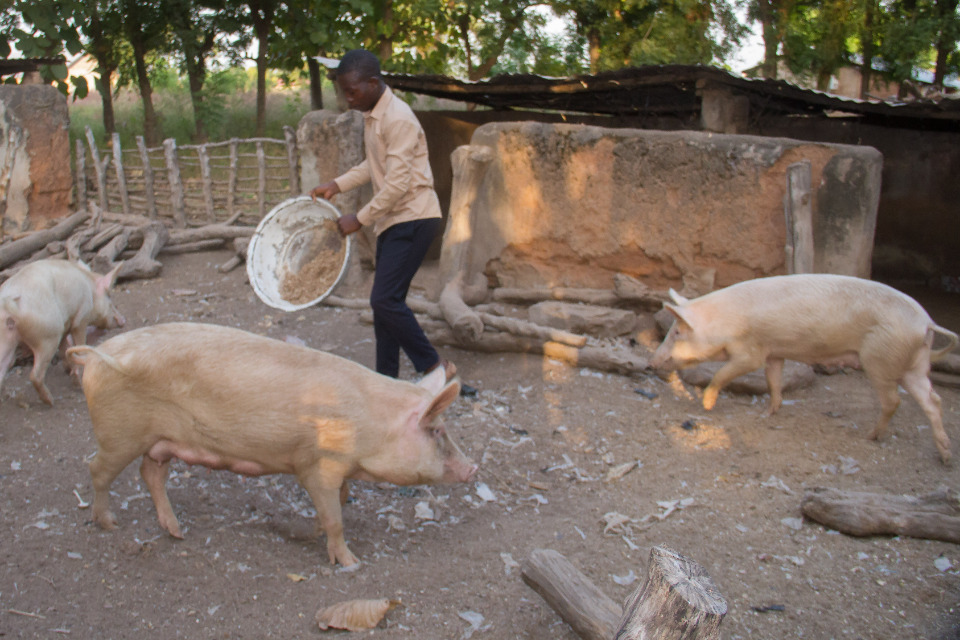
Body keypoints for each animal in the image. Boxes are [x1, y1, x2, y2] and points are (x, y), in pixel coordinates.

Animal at [0, 259, 125, 405]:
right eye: (109, 296)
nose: (123, 320)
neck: (91, 290)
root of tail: (9, 304)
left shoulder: (66, 327)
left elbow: (64, 348)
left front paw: (67, 369)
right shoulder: (81, 318)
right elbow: (79, 345)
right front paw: (77, 383)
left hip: (6, 339)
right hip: (48, 336)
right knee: (35, 375)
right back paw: (50, 401)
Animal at [67, 322, 478, 567]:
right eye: (436, 432)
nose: (473, 467)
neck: (370, 426)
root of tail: (94, 356)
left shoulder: (339, 469)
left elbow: (340, 501)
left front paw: (314, 531)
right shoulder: (316, 466)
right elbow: (334, 516)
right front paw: (351, 563)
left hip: (160, 441)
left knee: (150, 473)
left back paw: (176, 531)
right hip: (119, 433)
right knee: (96, 468)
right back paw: (109, 523)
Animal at [650, 274, 958, 463]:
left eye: (676, 332)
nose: (651, 361)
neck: (723, 323)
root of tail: (926, 322)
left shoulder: (750, 352)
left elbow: (723, 373)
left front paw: (707, 404)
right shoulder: (774, 352)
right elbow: (773, 379)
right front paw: (768, 412)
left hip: (880, 359)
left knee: (894, 400)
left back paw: (871, 436)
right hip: (915, 364)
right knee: (933, 400)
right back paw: (945, 455)